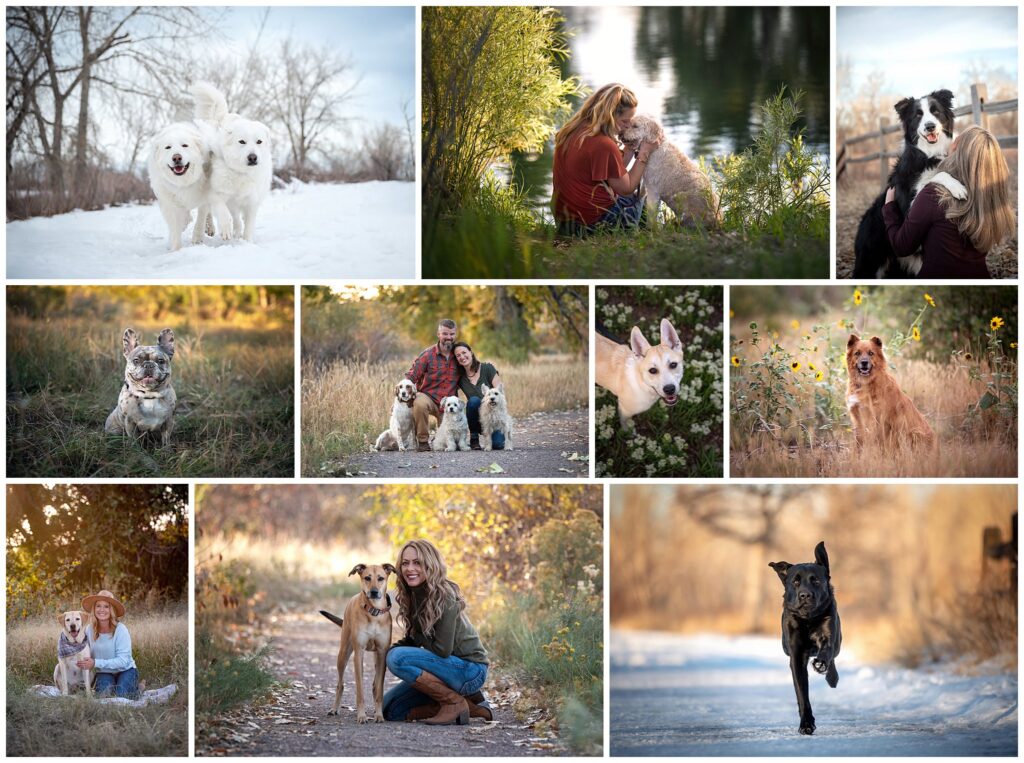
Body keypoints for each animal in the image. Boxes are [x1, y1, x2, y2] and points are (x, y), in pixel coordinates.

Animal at [147, 121, 210, 251]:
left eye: (185, 145)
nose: (176, 157)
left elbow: (201, 217)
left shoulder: (205, 197)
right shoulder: (169, 203)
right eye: (168, 147)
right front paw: (176, 250)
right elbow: (175, 227)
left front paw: (197, 238)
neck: (183, 182)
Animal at [190, 80, 272, 240]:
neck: (240, 173)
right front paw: (226, 229)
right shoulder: (215, 193)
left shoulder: (251, 202)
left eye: (259, 141)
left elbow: (248, 225)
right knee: (206, 212)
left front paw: (245, 241)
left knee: (236, 217)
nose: (253, 157)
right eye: (242, 142)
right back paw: (206, 230)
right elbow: (223, 212)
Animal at [319, 561, 395, 725]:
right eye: (367, 577)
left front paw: (379, 715)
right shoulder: (358, 652)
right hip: (343, 653)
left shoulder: (382, 652)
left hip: (375, 658)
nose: (374, 592)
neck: (374, 613)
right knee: (340, 684)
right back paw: (334, 709)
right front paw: (361, 716)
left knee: (374, 685)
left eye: (381, 578)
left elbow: (379, 689)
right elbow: (359, 689)